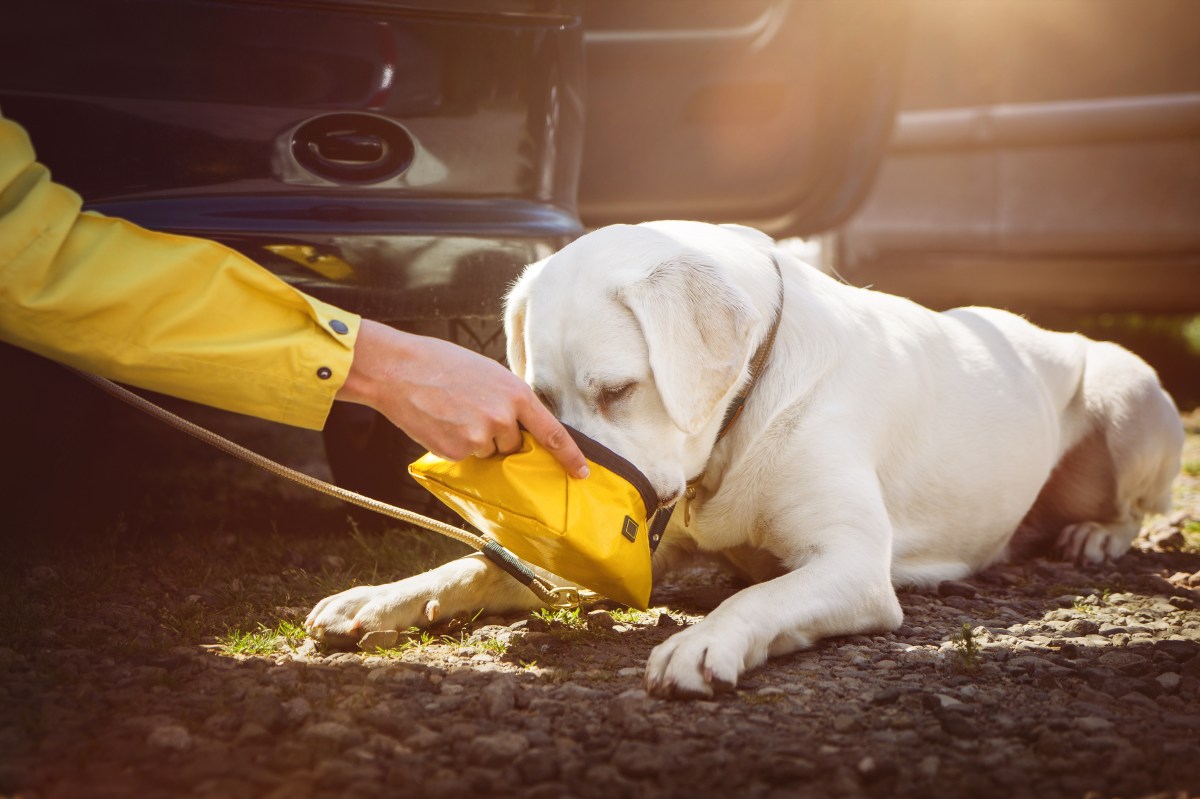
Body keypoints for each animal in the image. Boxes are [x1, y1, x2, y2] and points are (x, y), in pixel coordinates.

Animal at [304, 219, 1185, 695]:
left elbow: (759, 598)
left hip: (1126, 389)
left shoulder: (851, 566)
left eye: (619, 390)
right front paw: (380, 597)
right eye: (541, 400)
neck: (738, 421)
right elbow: (472, 567)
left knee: (1136, 504)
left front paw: (704, 642)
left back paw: (1096, 536)